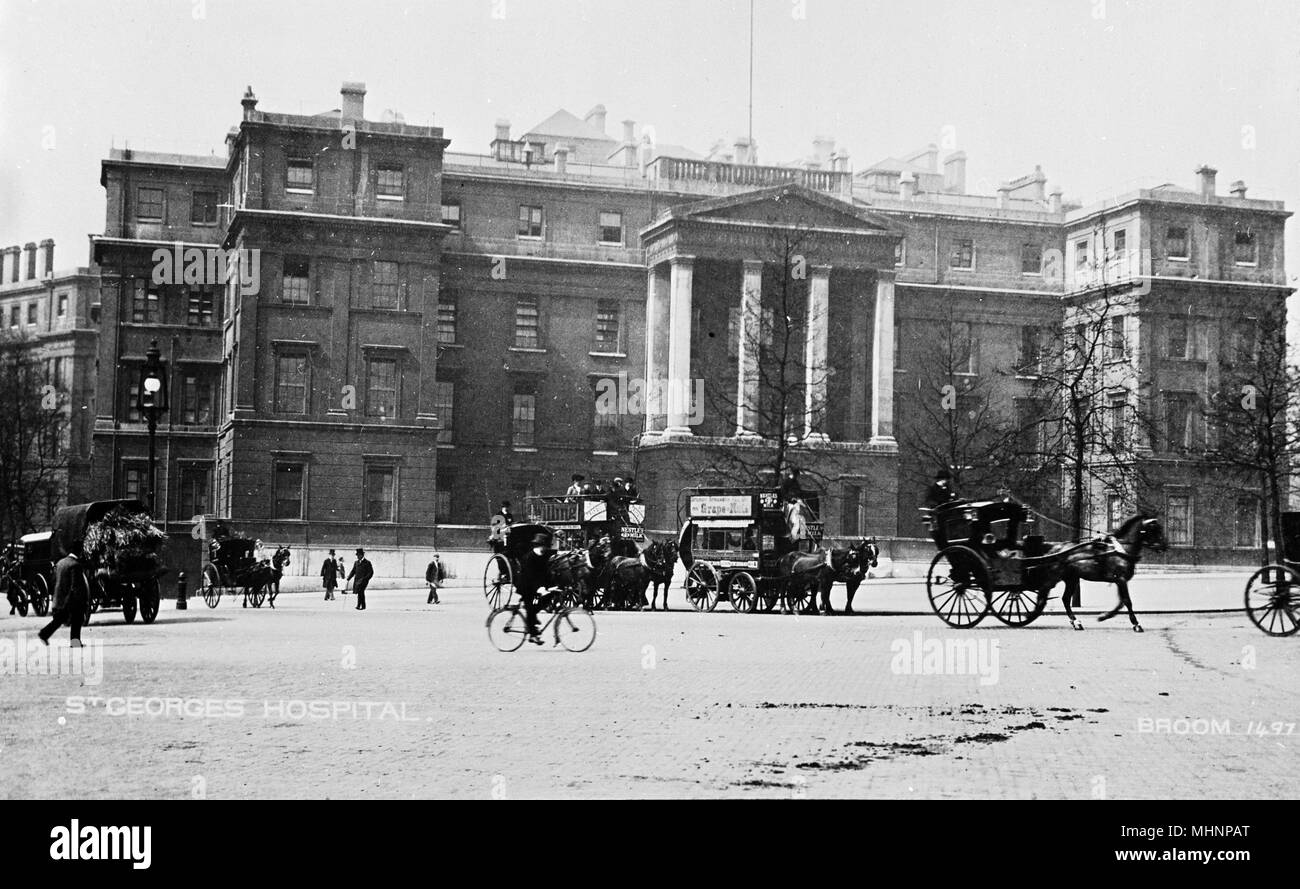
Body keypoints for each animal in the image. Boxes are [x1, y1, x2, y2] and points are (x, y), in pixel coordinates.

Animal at [1040, 514, 1175, 631]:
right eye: (1155, 529)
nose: (1165, 546)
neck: (1121, 550)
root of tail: (1055, 548)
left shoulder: (1120, 581)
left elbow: (1121, 603)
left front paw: (1104, 616)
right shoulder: (1121, 579)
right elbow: (1127, 601)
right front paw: (1136, 624)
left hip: (1071, 579)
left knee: (1066, 599)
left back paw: (1076, 622)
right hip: (1059, 577)